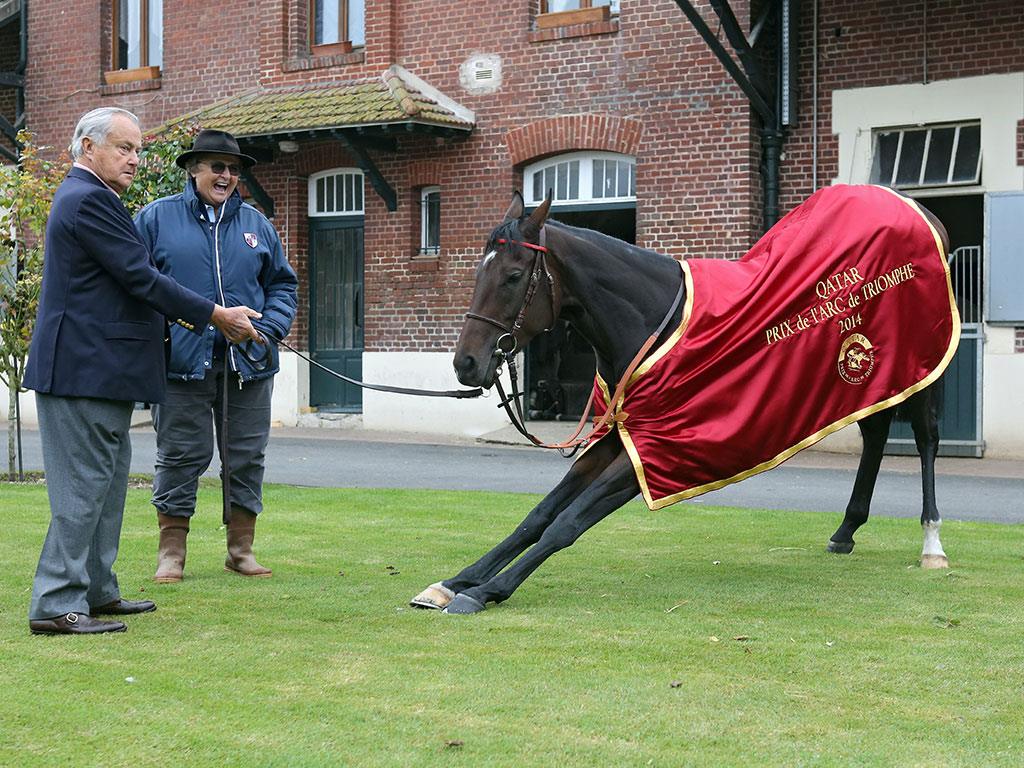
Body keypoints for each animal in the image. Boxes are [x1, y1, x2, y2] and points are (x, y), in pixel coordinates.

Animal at [407, 188, 958, 618]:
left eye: (515, 276)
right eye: (479, 273)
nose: (467, 364)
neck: (652, 321)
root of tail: (916, 210)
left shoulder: (657, 449)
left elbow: (567, 523)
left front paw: (486, 591)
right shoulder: (619, 438)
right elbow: (538, 515)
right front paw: (456, 581)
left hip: (919, 363)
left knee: (926, 439)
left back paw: (932, 544)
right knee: (876, 434)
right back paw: (846, 531)